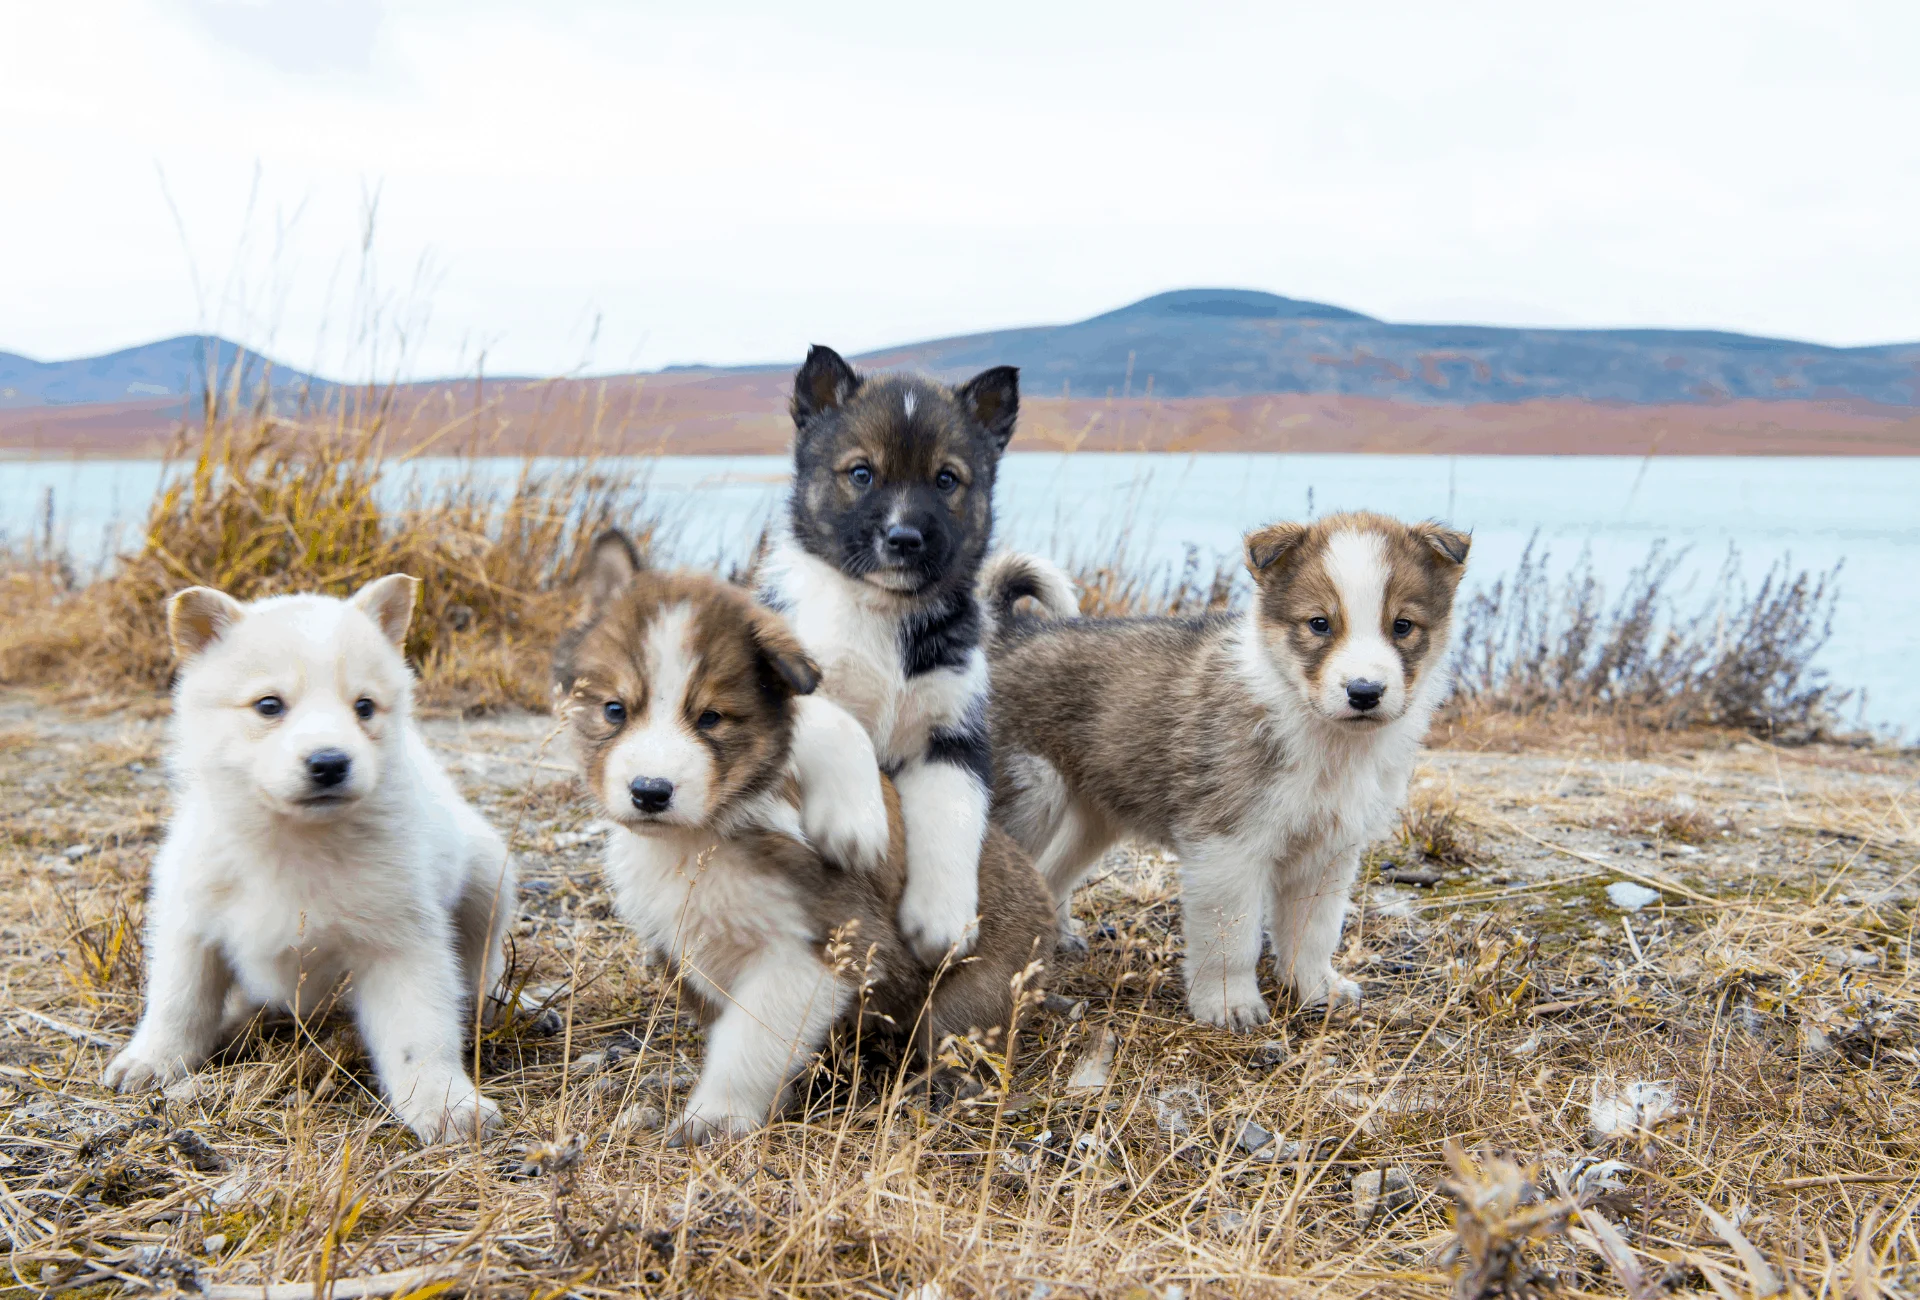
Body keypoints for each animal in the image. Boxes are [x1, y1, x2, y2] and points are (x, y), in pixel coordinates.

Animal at [101, 572, 514, 1144]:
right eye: (269, 705)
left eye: (364, 706)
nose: (329, 762)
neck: (294, 841)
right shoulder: (191, 920)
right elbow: (178, 1001)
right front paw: (153, 1059)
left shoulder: (400, 942)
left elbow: (420, 1032)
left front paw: (445, 1101)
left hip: (486, 884)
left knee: (481, 965)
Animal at [556, 533, 1052, 1144]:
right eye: (614, 710)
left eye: (711, 718)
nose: (650, 791)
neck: (701, 840)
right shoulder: (684, 951)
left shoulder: (820, 951)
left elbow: (749, 1042)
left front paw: (716, 1115)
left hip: (966, 999)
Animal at [748, 341, 1021, 963]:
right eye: (861, 473)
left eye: (946, 479)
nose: (904, 539)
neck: (883, 612)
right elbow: (842, 725)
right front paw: (857, 825)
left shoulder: (954, 736)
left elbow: (953, 813)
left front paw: (943, 919)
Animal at [983, 510, 1459, 1029]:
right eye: (1319, 624)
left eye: (1402, 625)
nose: (1365, 691)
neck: (1320, 732)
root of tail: (1007, 635)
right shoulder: (1227, 848)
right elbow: (1233, 939)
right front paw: (1230, 1005)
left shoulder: (1329, 849)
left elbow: (1314, 931)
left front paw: (1317, 988)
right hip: (1031, 797)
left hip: (1094, 815)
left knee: (1051, 872)